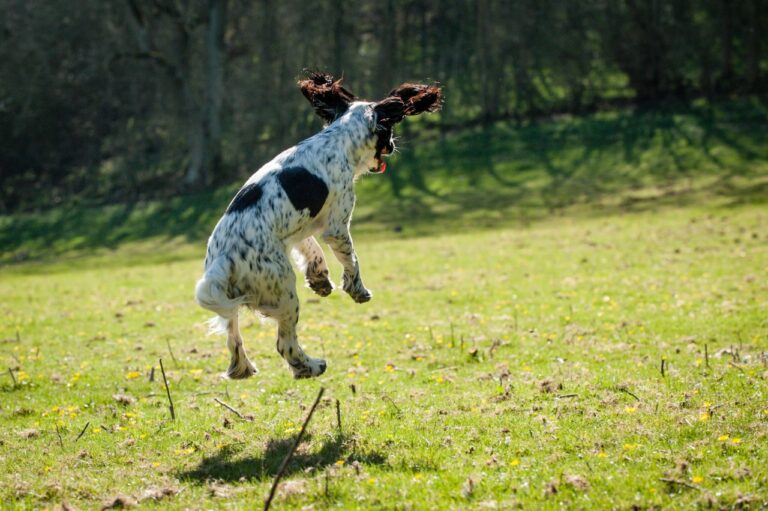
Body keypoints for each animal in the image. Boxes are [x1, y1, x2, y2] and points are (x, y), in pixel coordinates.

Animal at [195, 74, 440, 382]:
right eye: (389, 131)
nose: (393, 145)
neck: (338, 139)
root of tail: (222, 261)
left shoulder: (302, 226)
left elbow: (311, 248)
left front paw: (320, 279)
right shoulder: (337, 224)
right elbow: (352, 260)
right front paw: (357, 289)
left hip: (233, 300)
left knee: (233, 337)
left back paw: (243, 369)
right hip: (283, 289)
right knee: (285, 343)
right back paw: (310, 366)